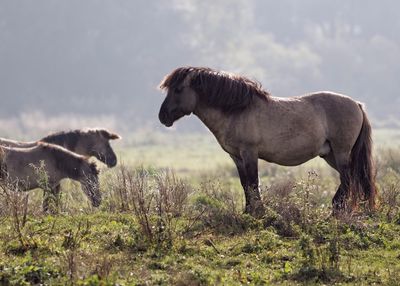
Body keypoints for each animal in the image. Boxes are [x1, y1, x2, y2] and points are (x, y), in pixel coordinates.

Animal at [158, 67, 376, 218]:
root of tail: (357, 104)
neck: (237, 110)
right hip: (330, 155)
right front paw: (248, 211)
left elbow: (254, 182)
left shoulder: (249, 153)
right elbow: (245, 184)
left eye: (178, 89)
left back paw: (336, 209)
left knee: (348, 179)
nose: (163, 117)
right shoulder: (236, 157)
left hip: (340, 152)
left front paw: (259, 212)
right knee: (352, 177)